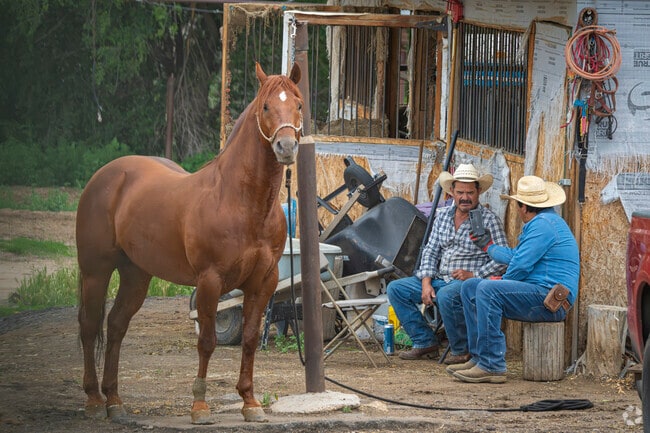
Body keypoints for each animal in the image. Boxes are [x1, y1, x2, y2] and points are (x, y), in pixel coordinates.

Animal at [76, 62, 303, 424]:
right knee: (88, 326)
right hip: (95, 271)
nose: (285, 147)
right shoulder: (210, 281)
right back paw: (95, 401)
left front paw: (250, 403)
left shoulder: (263, 282)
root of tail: (106, 175)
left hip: (136, 274)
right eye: (266, 106)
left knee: (116, 325)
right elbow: (207, 342)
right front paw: (199, 406)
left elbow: (250, 340)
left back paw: (115, 401)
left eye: (298, 104)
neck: (241, 202)